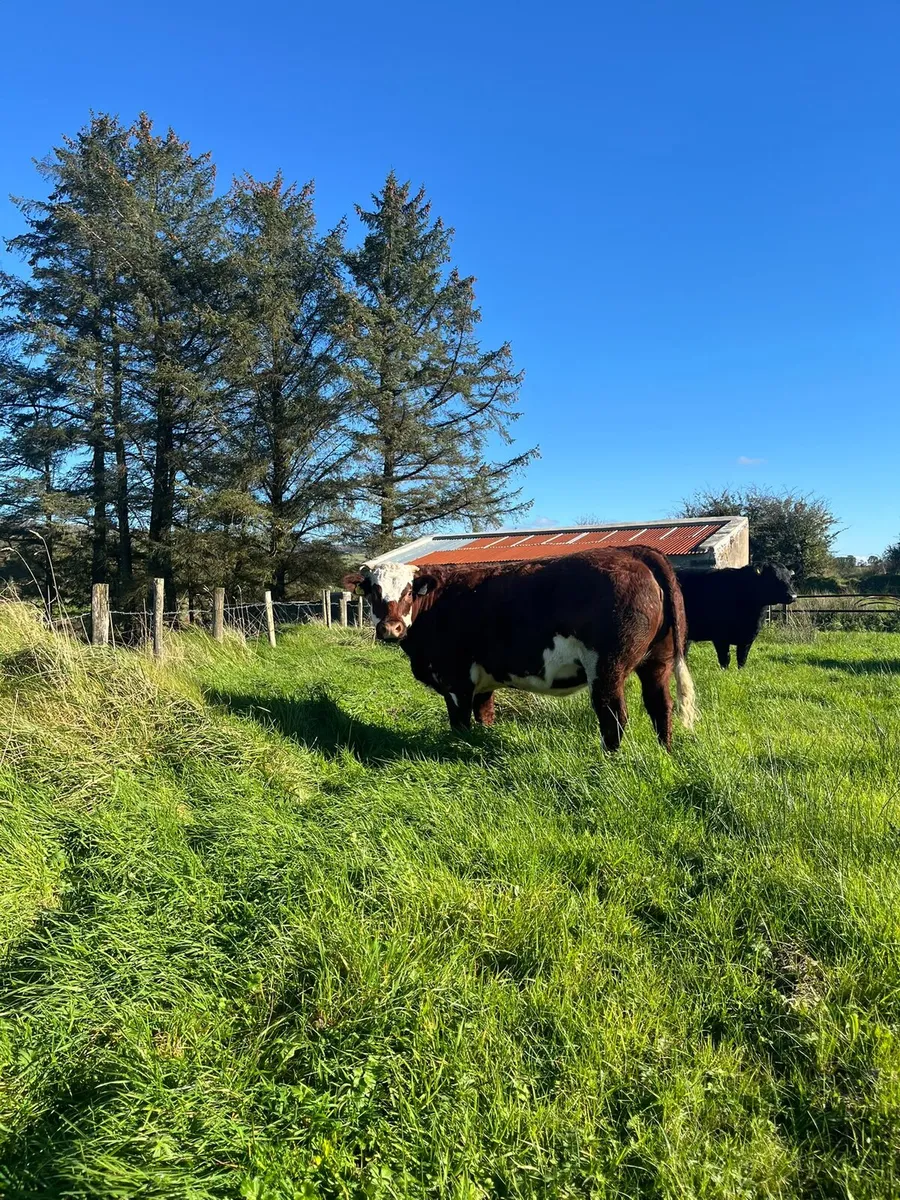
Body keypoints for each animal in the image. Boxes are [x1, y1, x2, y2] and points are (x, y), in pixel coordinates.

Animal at [343, 547, 696, 751]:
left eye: (408, 592)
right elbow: (485, 717)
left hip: (607, 667)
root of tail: (634, 552)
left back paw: (609, 763)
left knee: (614, 716)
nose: (390, 628)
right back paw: (666, 754)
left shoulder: (455, 680)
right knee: (660, 707)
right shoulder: (482, 682)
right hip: (657, 661)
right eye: (373, 591)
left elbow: (459, 724)